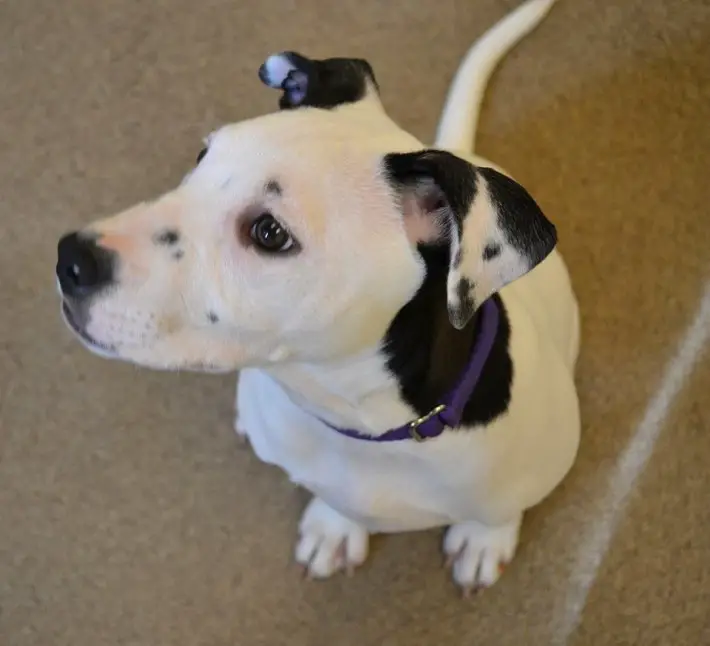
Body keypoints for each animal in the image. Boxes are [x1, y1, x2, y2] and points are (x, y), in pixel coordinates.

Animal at [55, 0, 580, 596]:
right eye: (202, 157)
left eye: (269, 233)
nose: (70, 260)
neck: (359, 419)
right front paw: (336, 525)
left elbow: (501, 507)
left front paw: (484, 537)